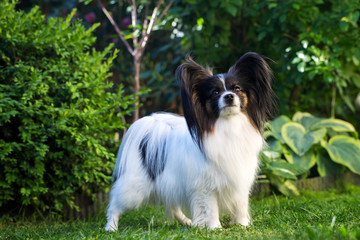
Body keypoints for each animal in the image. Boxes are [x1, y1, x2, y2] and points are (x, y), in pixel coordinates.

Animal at [105, 52, 274, 231]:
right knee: (115, 205)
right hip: (135, 187)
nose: (229, 96)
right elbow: (210, 208)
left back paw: (187, 222)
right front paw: (215, 228)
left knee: (172, 207)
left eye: (237, 89)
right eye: (215, 92)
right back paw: (111, 228)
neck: (228, 126)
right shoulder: (205, 186)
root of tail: (148, 127)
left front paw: (242, 225)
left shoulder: (240, 179)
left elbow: (241, 205)